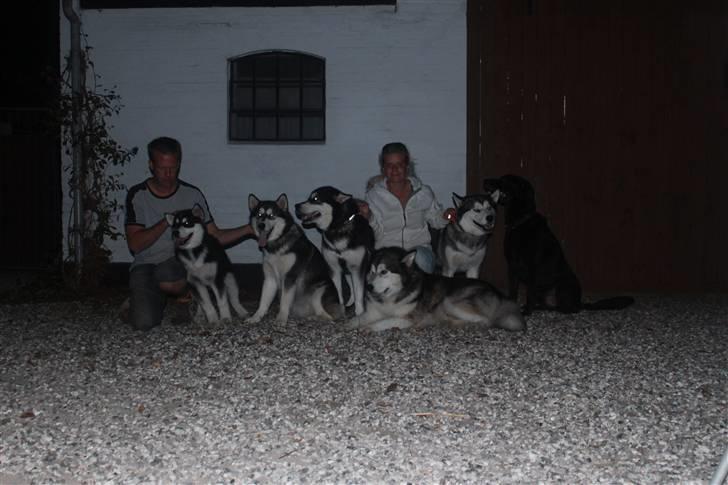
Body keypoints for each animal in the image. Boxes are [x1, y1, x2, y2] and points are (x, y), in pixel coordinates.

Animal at [246, 194, 342, 326]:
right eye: (259, 215)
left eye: (271, 215)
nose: (261, 225)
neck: (277, 244)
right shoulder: (270, 279)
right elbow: (263, 302)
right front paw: (256, 317)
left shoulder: (290, 277)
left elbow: (284, 300)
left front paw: (281, 318)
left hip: (318, 291)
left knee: (327, 316)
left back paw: (314, 318)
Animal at [294, 184, 376, 314]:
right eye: (309, 198)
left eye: (315, 198)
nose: (296, 206)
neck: (337, 227)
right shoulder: (334, 268)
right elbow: (339, 292)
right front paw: (340, 307)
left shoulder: (357, 268)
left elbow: (359, 294)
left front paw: (359, 312)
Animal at [346, 248, 524, 330]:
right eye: (371, 271)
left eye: (384, 272)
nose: (368, 287)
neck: (391, 297)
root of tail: (499, 294)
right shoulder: (372, 312)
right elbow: (357, 318)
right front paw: (349, 325)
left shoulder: (407, 319)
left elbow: (383, 322)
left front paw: (368, 328)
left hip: (449, 302)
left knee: (485, 321)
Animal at [486, 174, 636, 314]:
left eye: (504, 180)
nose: (484, 181)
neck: (521, 221)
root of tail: (579, 302)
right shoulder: (512, 267)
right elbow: (513, 292)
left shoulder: (532, 268)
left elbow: (529, 293)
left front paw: (527, 312)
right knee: (546, 304)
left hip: (562, 285)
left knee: (566, 308)